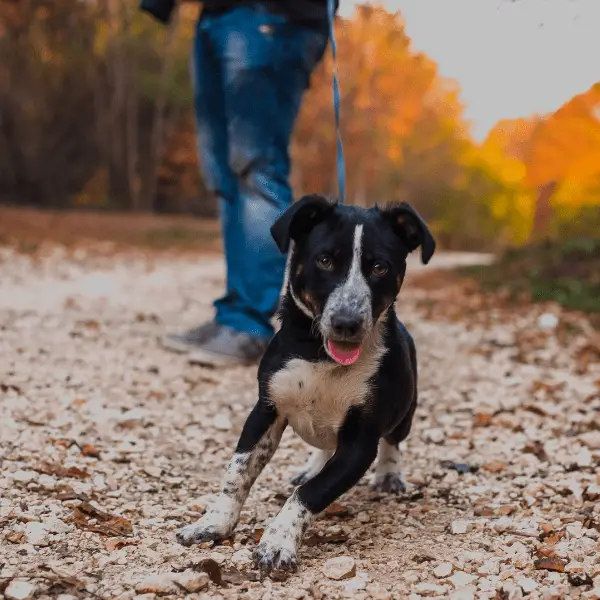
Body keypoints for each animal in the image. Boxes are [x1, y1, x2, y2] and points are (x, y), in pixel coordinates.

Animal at [176, 196, 434, 572]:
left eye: (380, 267)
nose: (346, 323)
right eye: (324, 260)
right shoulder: (265, 410)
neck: (321, 355)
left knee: (392, 442)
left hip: (406, 411)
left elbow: (311, 493)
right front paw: (213, 523)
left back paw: (389, 475)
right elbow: (237, 472)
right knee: (323, 446)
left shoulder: (360, 442)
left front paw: (277, 542)